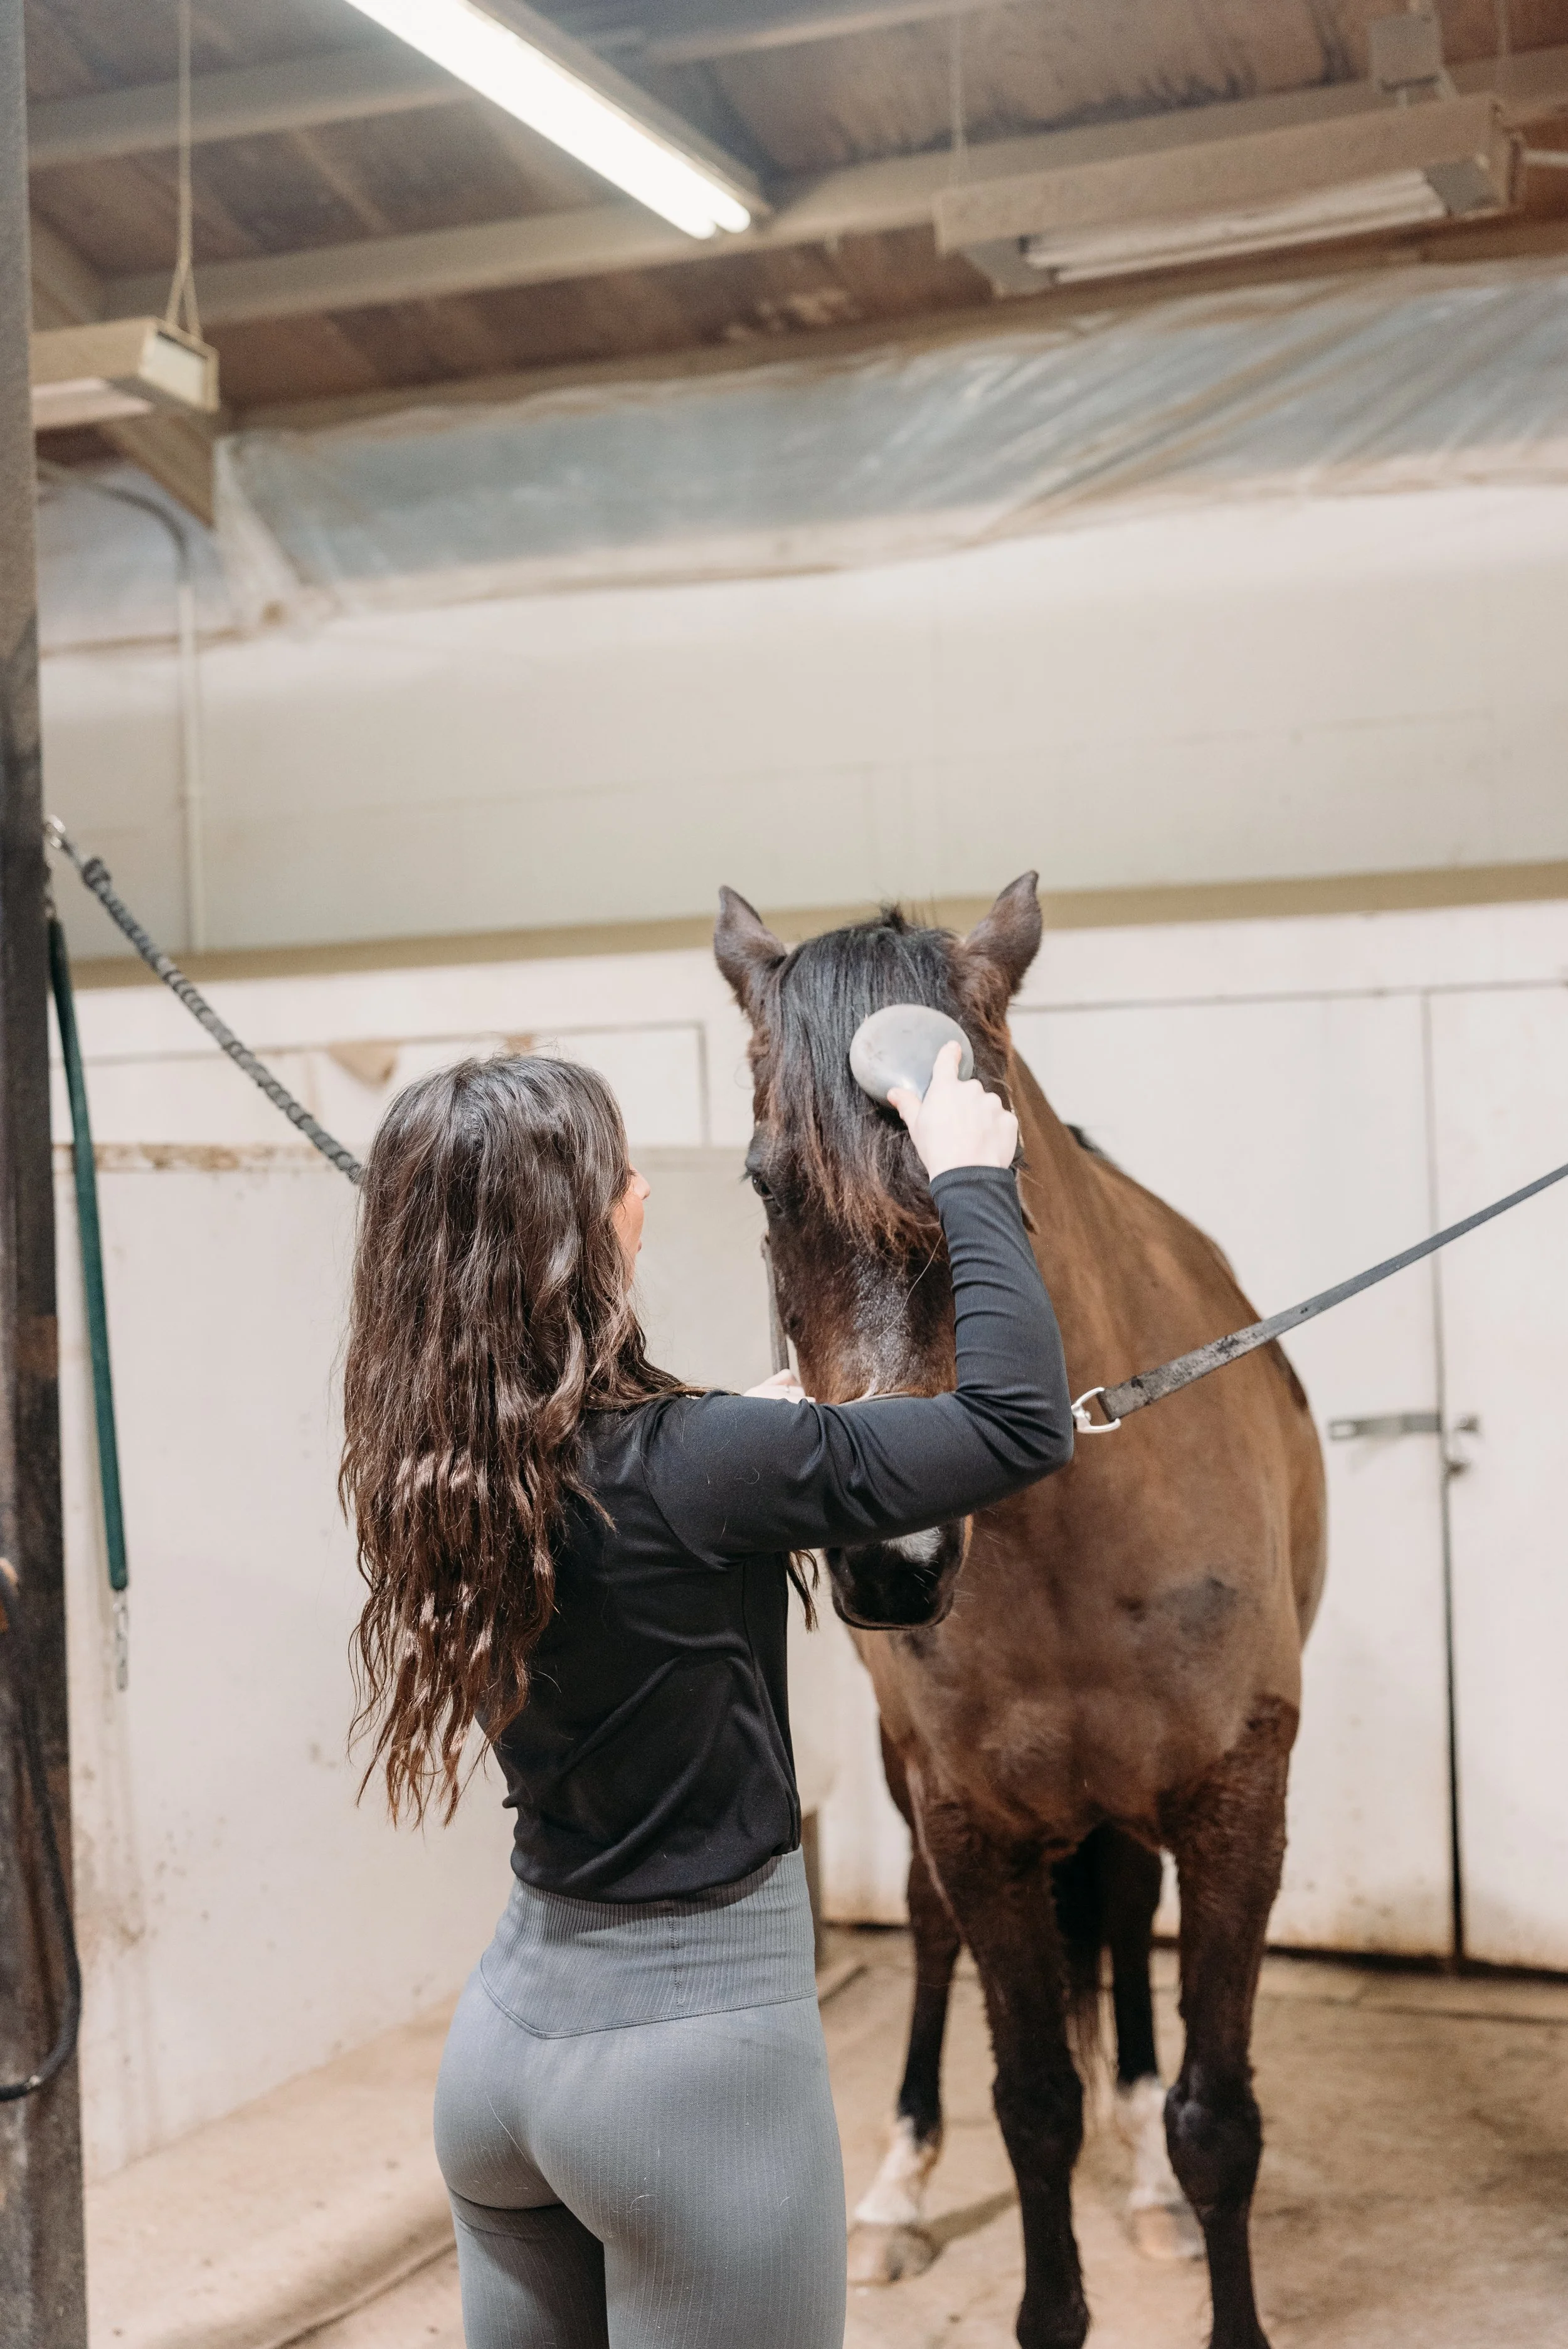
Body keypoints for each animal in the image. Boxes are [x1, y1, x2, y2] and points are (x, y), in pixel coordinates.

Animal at [715, 874, 1325, 2349]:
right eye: (766, 1183)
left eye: (995, 1172)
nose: (887, 1557)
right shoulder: (971, 1822)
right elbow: (1032, 2105)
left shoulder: (1236, 1805)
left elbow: (1218, 2119)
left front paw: (1175, 2181)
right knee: (933, 1942)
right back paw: (894, 2191)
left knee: (1124, 1920)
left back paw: (1146, 2179)